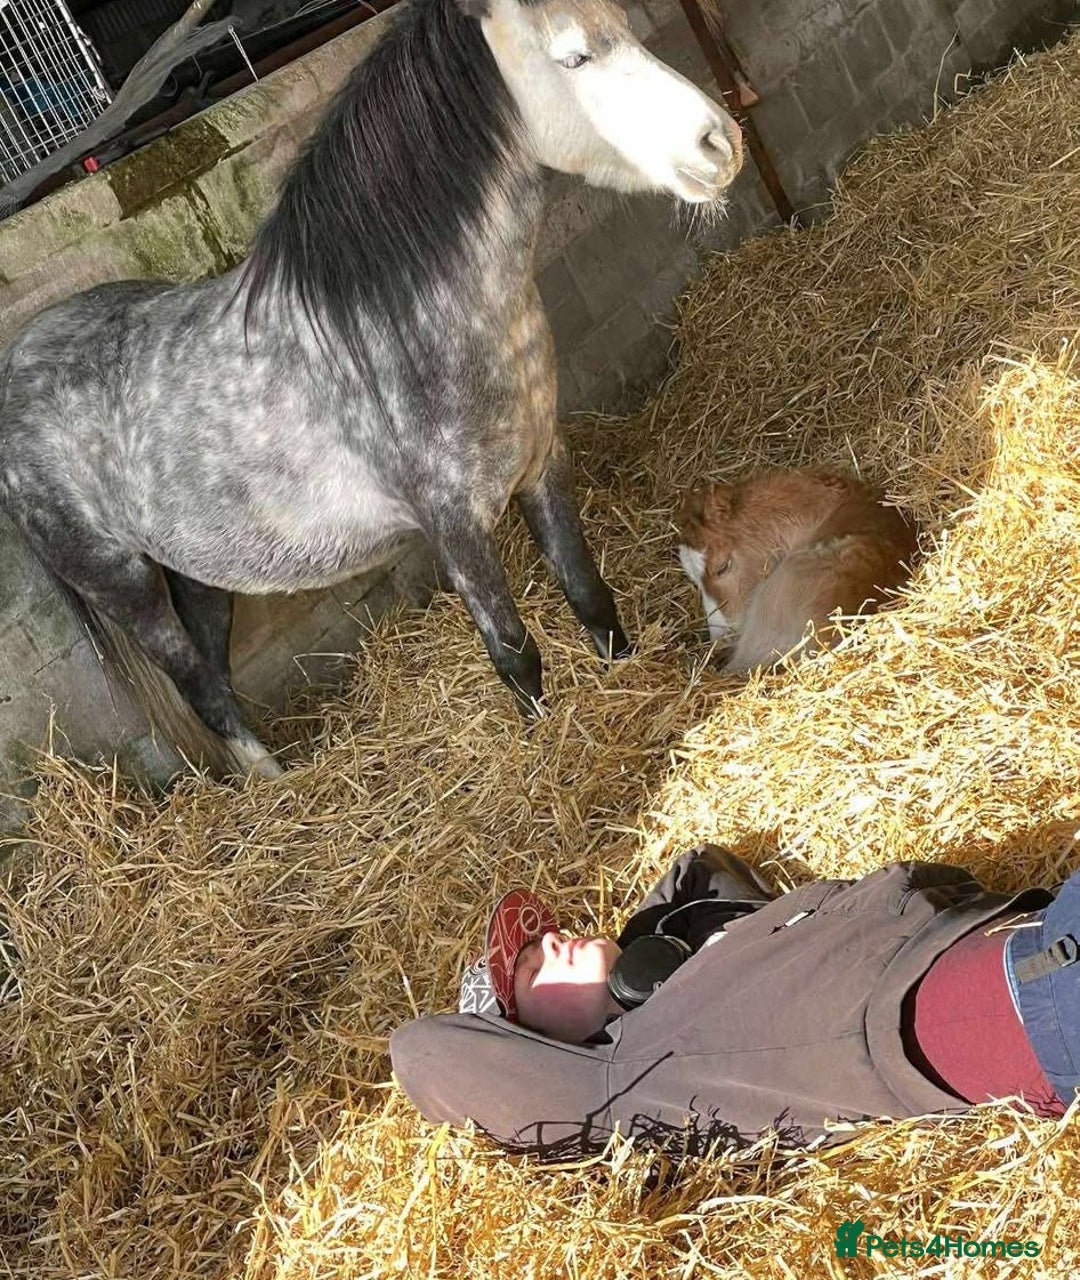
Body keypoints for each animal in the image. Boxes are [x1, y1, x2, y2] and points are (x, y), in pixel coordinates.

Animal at [0, 0, 742, 778]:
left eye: (626, 25)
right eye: (574, 58)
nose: (721, 143)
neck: (409, 320)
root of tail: (18, 365)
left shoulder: (543, 467)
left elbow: (590, 595)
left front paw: (626, 679)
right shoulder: (454, 527)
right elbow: (515, 656)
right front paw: (545, 749)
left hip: (199, 575)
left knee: (214, 677)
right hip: (127, 587)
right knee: (198, 684)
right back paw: (279, 788)